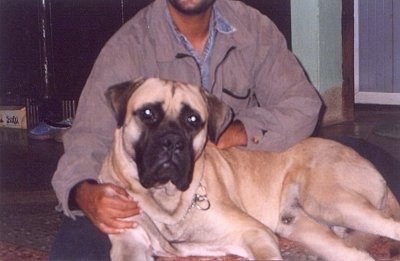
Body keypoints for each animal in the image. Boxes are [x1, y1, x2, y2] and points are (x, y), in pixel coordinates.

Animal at [99, 77, 400, 260]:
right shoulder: (129, 245)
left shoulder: (255, 232)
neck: (168, 202)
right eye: (148, 113)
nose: (172, 142)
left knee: (391, 227)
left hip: (329, 200)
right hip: (306, 228)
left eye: (193, 119)